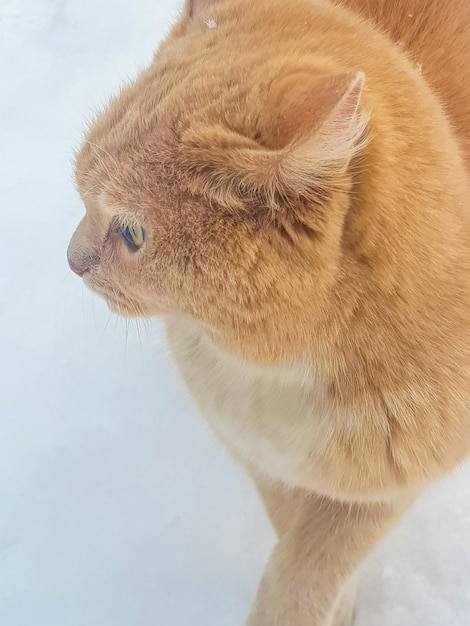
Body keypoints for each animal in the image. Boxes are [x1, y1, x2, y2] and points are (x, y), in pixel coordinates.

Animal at [67, 1, 470, 620]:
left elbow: (306, 569)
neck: (271, 376)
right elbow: (290, 535)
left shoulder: (380, 489)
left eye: (132, 233)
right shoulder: (262, 462)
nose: (71, 260)